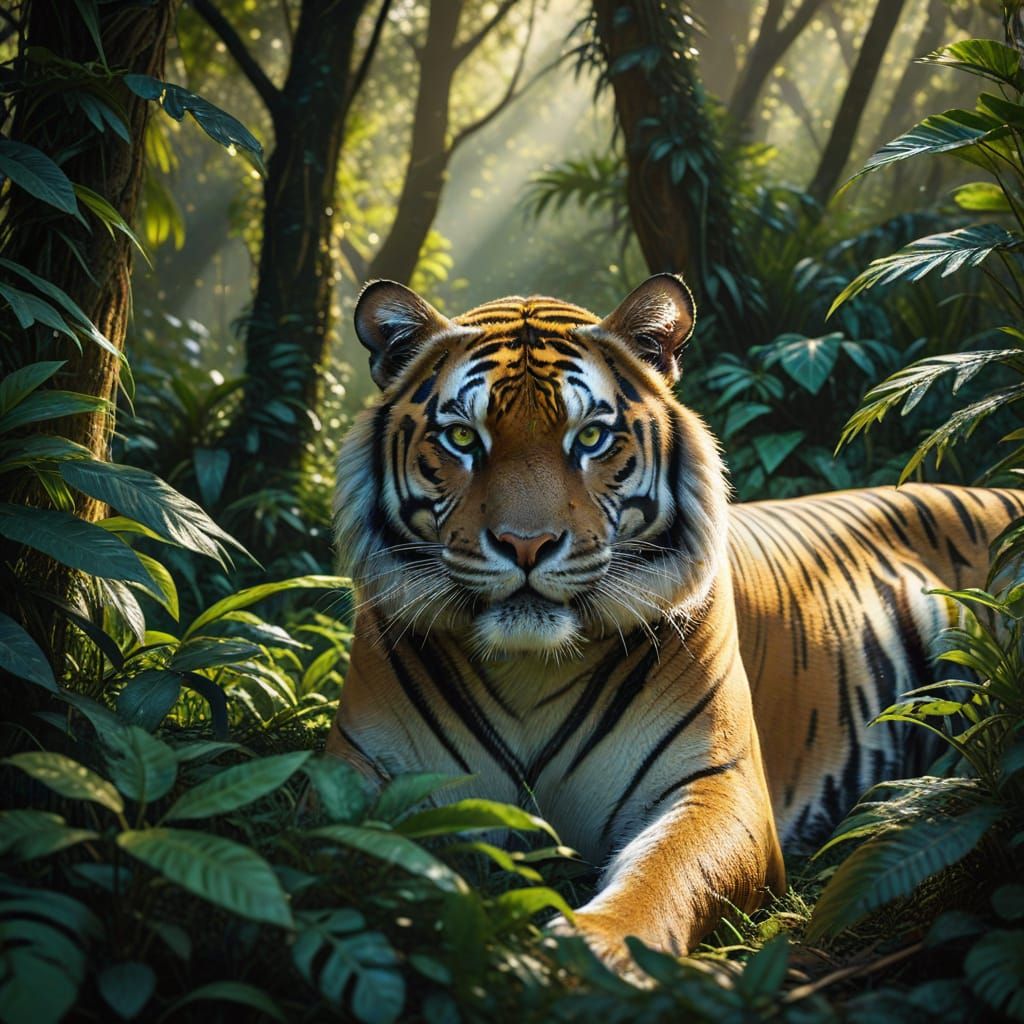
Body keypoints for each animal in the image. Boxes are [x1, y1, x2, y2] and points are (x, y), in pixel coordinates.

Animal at [326, 274, 1024, 968]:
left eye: (589, 438)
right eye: (463, 439)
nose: (527, 545)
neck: (530, 668)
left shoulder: (717, 783)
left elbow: (667, 871)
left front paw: (592, 952)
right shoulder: (362, 774)